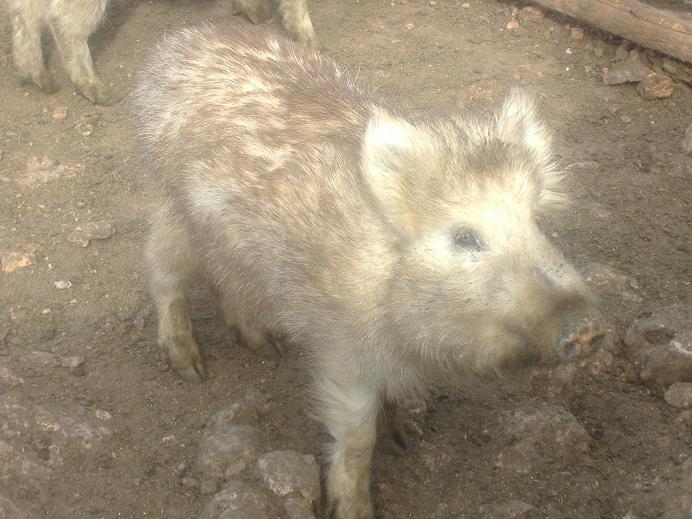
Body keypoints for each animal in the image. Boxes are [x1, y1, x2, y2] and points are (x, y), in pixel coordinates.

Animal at [132, 24, 600, 519]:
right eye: (465, 237)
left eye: (534, 221)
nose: (587, 326)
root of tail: (175, 42)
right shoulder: (343, 351)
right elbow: (357, 438)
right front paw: (355, 504)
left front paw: (403, 440)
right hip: (167, 205)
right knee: (161, 272)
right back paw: (190, 368)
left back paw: (265, 343)